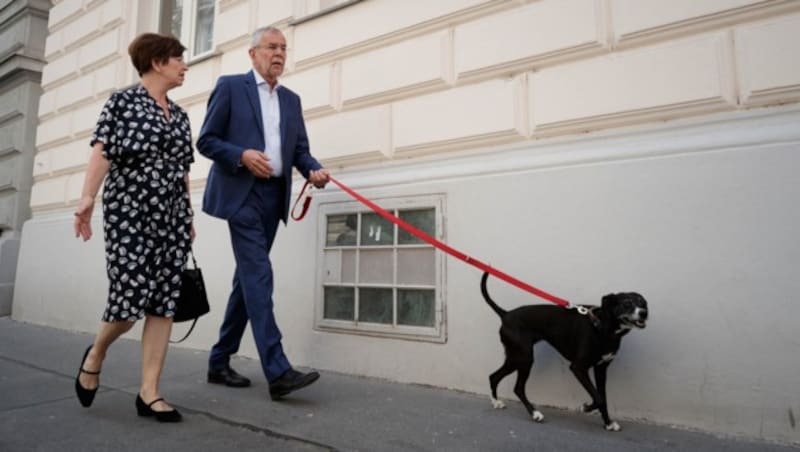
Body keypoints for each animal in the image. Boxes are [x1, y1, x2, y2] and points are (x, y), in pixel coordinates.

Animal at [482, 272, 644, 430]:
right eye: (627, 303)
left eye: (644, 304)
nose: (643, 313)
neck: (601, 326)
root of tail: (505, 314)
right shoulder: (578, 367)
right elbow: (598, 398)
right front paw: (586, 408)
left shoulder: (601, 369)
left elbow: (602, 397)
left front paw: (608, 423)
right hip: (524, 357)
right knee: (518, 388)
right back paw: (534, 413)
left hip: (515, 356)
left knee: (494, 376)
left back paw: (496, 402)